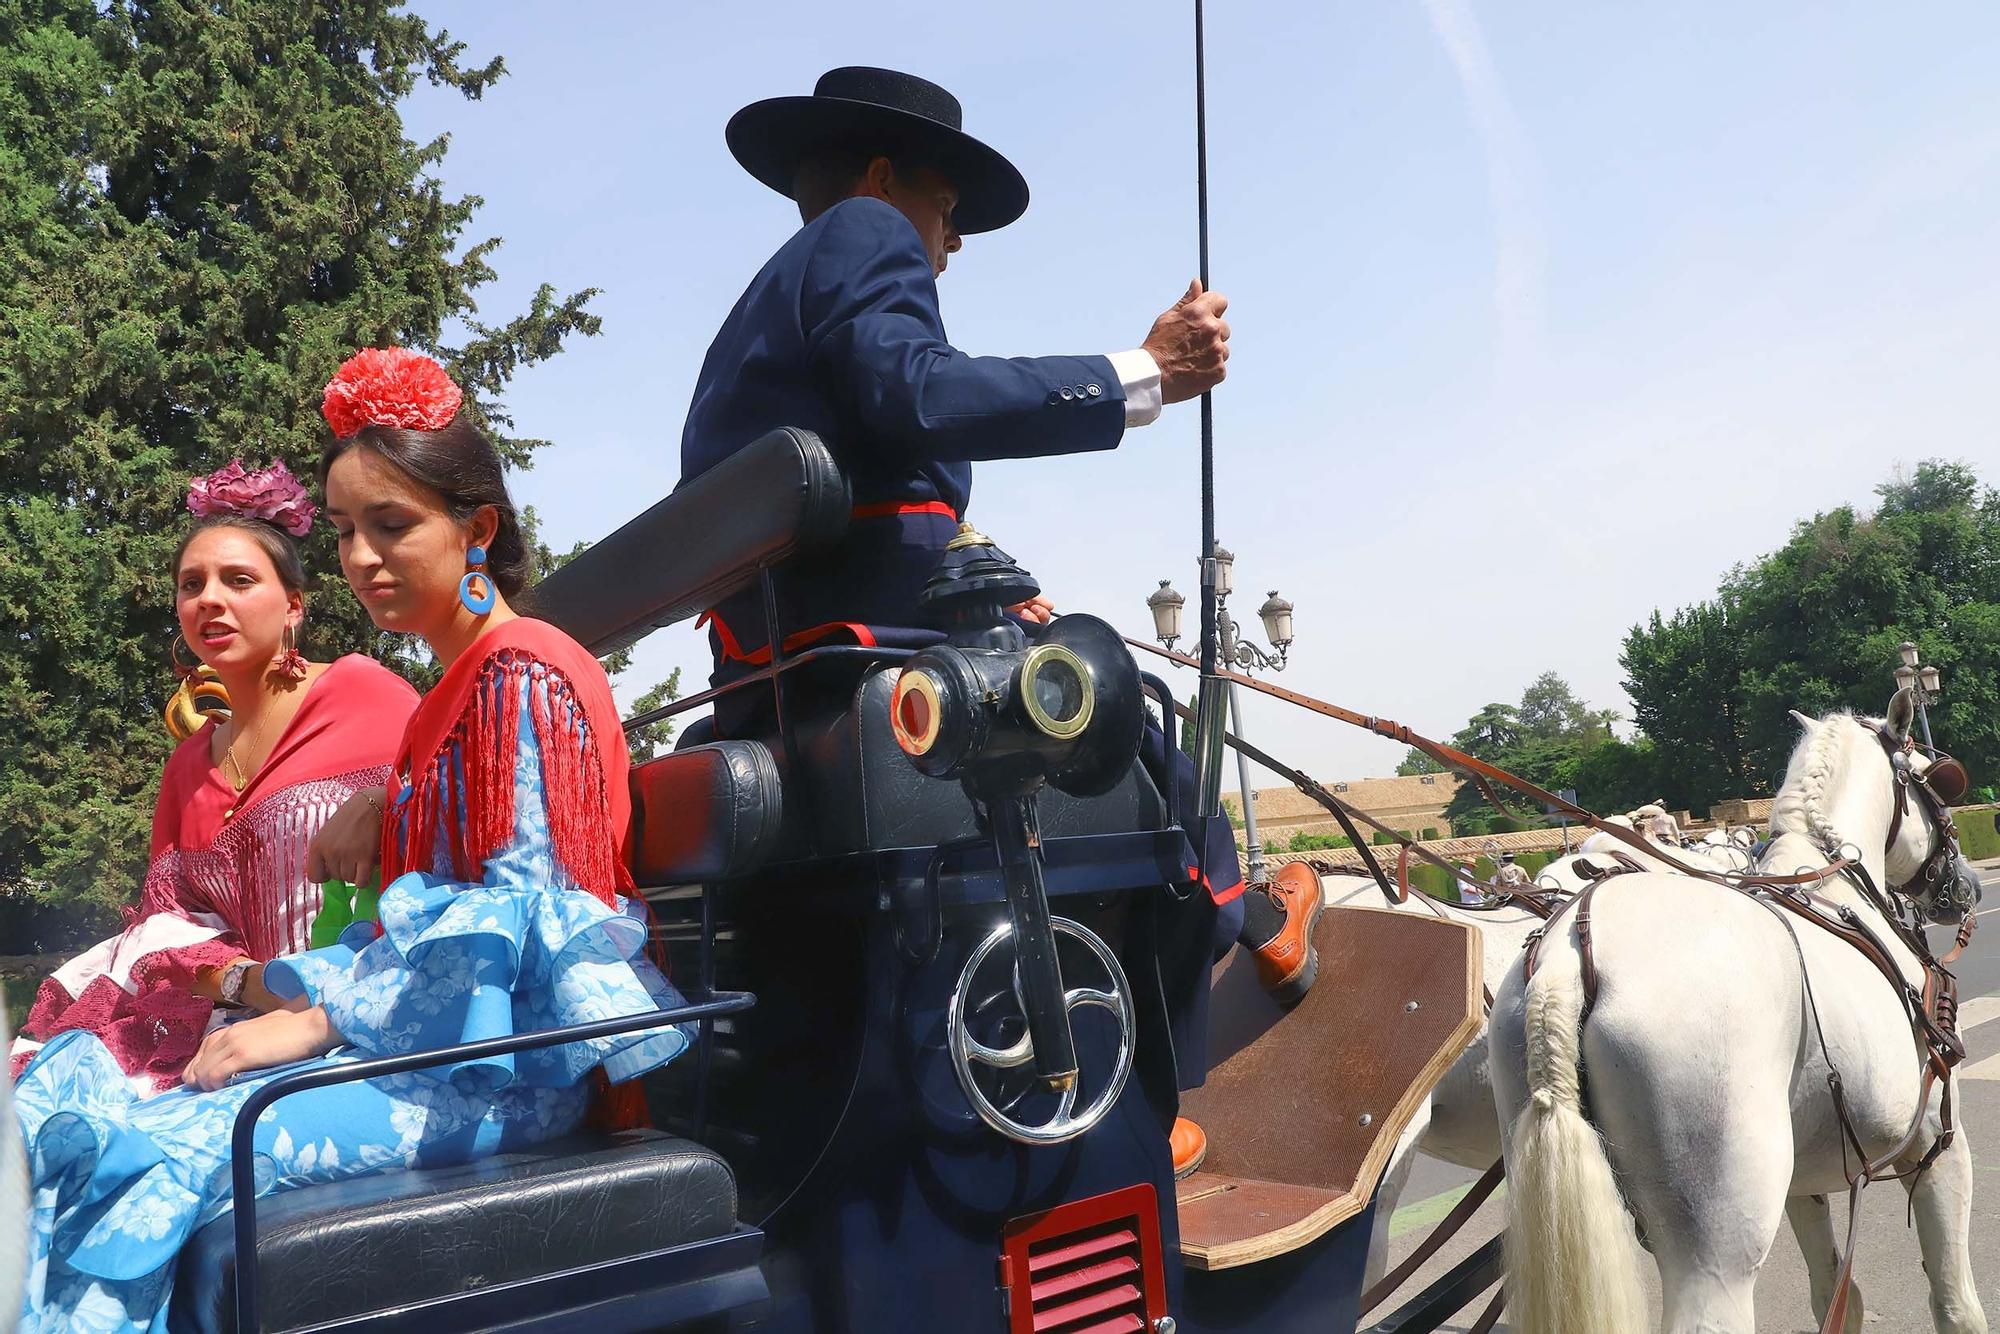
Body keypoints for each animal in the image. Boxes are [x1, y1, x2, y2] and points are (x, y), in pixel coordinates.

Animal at [1488, 700, 1984, 1334]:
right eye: (1940, 781)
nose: (1965, 887)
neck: (1833, 883)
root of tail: (1566, 958)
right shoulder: (1935, 1145)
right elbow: (1954, 1300)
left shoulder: (1804, 1182)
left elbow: (1837, 1297)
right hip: (1718, 1242)